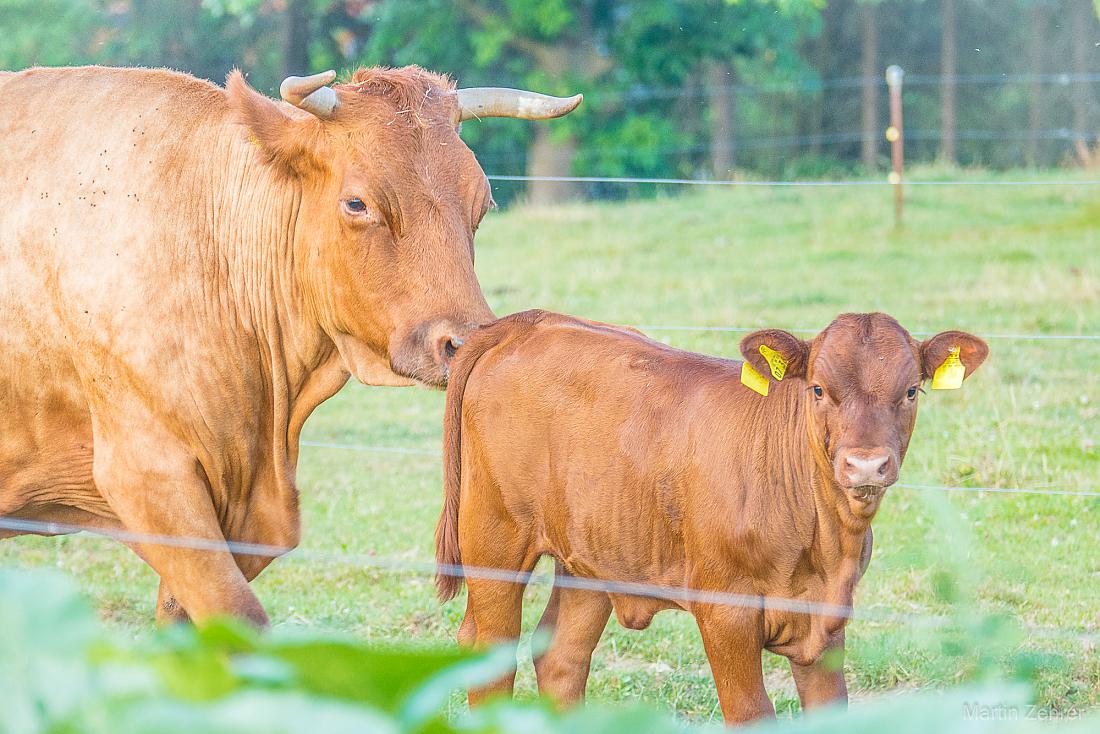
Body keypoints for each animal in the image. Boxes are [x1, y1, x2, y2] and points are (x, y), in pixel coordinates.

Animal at [431, 308, 990, 721]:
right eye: (818, 389)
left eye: (911, 391)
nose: (866, 463)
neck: (824, 543)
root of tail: (531, 322)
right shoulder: (726, 613)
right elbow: (751, 713)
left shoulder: (828, 622)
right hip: (495, 541)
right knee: (489, 655)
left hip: (591, 557)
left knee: (561, 659)